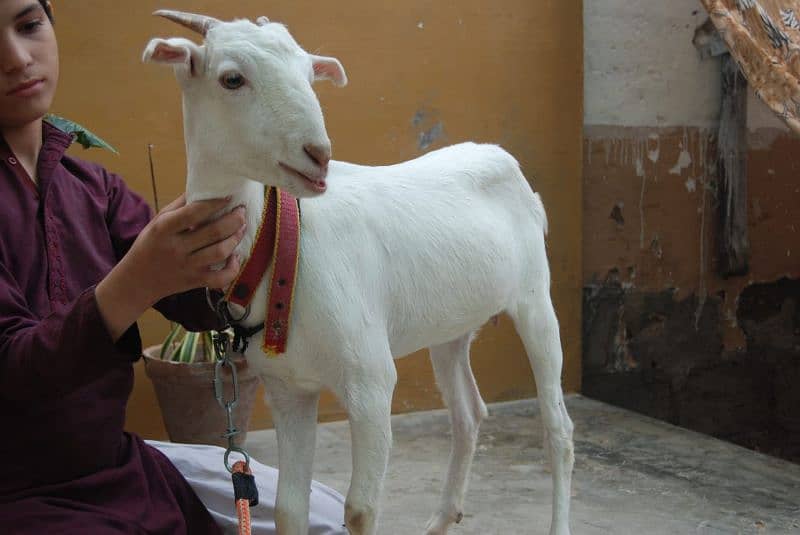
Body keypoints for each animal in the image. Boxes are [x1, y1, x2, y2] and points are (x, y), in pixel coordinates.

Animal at [142, 11, 568, 535]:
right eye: (232, 79)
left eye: (309, 74)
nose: (318, 154)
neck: (281, 249)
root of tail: (506, 163)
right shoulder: (288, 390)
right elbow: (288, 507)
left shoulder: (370, 379)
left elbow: (360, 510)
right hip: (451, 326)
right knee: (469, 413)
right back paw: (441, 519)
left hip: (535, 297)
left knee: (558, 428)